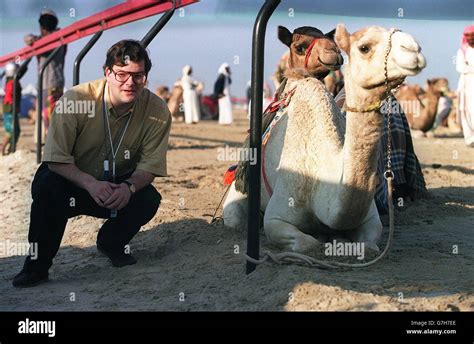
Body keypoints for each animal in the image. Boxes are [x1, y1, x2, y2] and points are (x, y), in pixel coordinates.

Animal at [222, 24, 426, 253]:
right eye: (364, 47)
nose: (413, 48)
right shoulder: (277, 218)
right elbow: (308, 244)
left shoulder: (371, 219)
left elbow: (368, 245)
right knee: (235, 219)